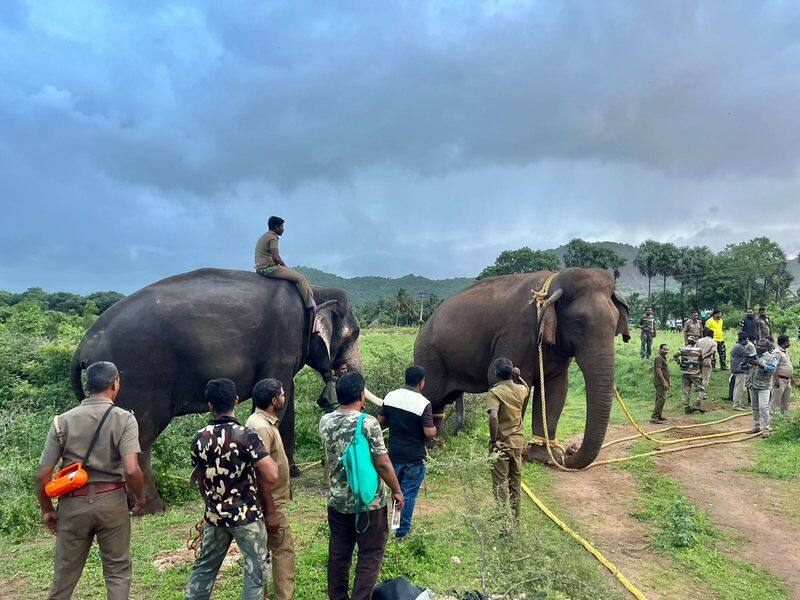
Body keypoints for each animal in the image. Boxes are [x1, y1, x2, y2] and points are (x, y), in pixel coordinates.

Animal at [412, 268, 632, 468]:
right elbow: (509, 382)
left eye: (614, 326)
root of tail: (428, 320)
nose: (570, 450)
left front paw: (543, 458)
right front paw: (509, 453)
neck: (552, 284)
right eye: (578, 323)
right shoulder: (516, 333)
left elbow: (557, 390)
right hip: (428, 354)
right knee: (431, 395)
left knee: (441, 401)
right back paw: (426, 450)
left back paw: (436, 446)